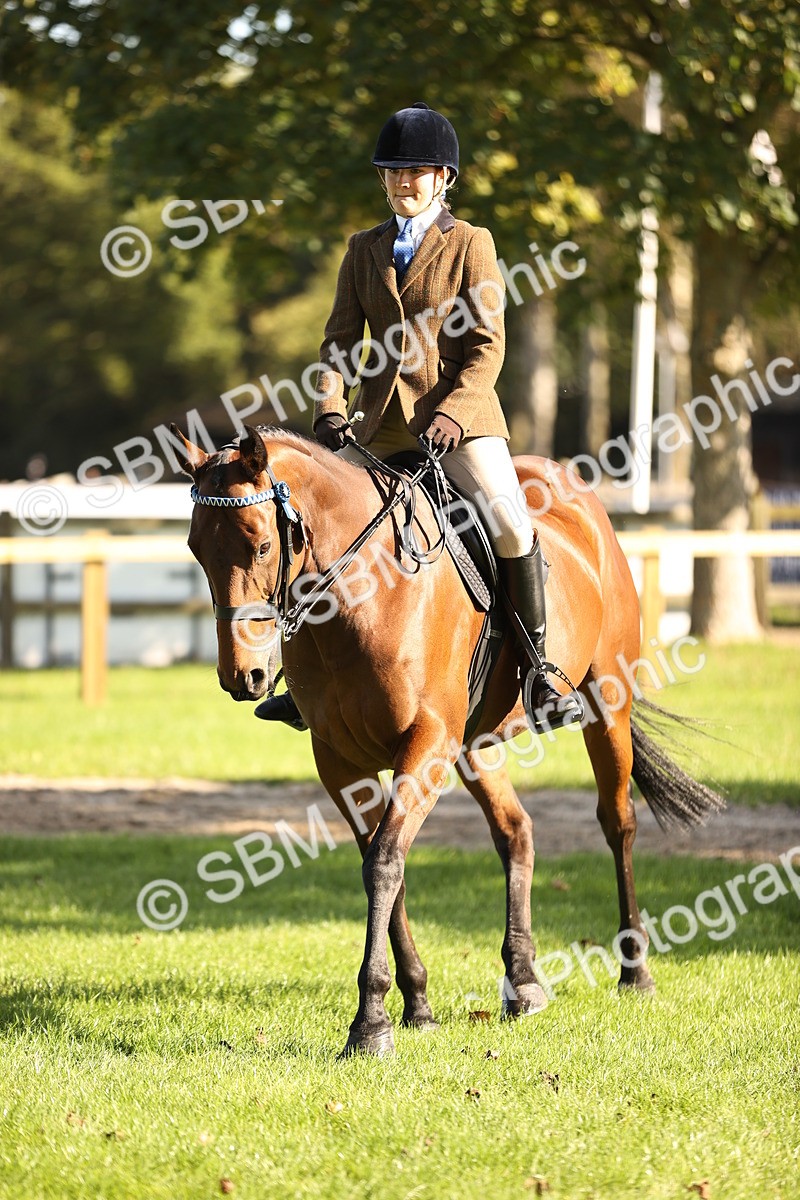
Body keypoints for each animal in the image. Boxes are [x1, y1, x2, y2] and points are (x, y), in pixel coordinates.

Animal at [173, 422, 724, 1057]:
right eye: (195, 548)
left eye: (262, 546)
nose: (244, 677)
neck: (361, 598)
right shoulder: (340, 761)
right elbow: (385, 865)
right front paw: (415, 1005)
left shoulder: (427, 742)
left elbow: (385, 863)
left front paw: (370, 1023)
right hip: (474, 745)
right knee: (516, 832)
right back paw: (524, 983)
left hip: (606, 704)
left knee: (618, 823)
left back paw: (634, 971)